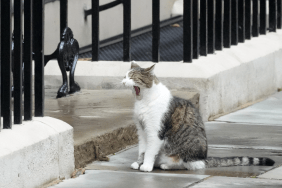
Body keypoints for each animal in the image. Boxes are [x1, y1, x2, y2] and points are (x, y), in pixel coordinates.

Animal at [121, 62, 276, 173]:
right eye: (124, 76)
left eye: (132, 77)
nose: (122, 82)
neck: (143, 100)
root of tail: (203, 158)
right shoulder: (142, 130)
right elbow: (142, 150)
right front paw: (139, 163)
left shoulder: (155, 131)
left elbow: (150, 151)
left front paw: (146, 166)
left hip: (183, 155)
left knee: (190, 165)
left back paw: (167, 165)